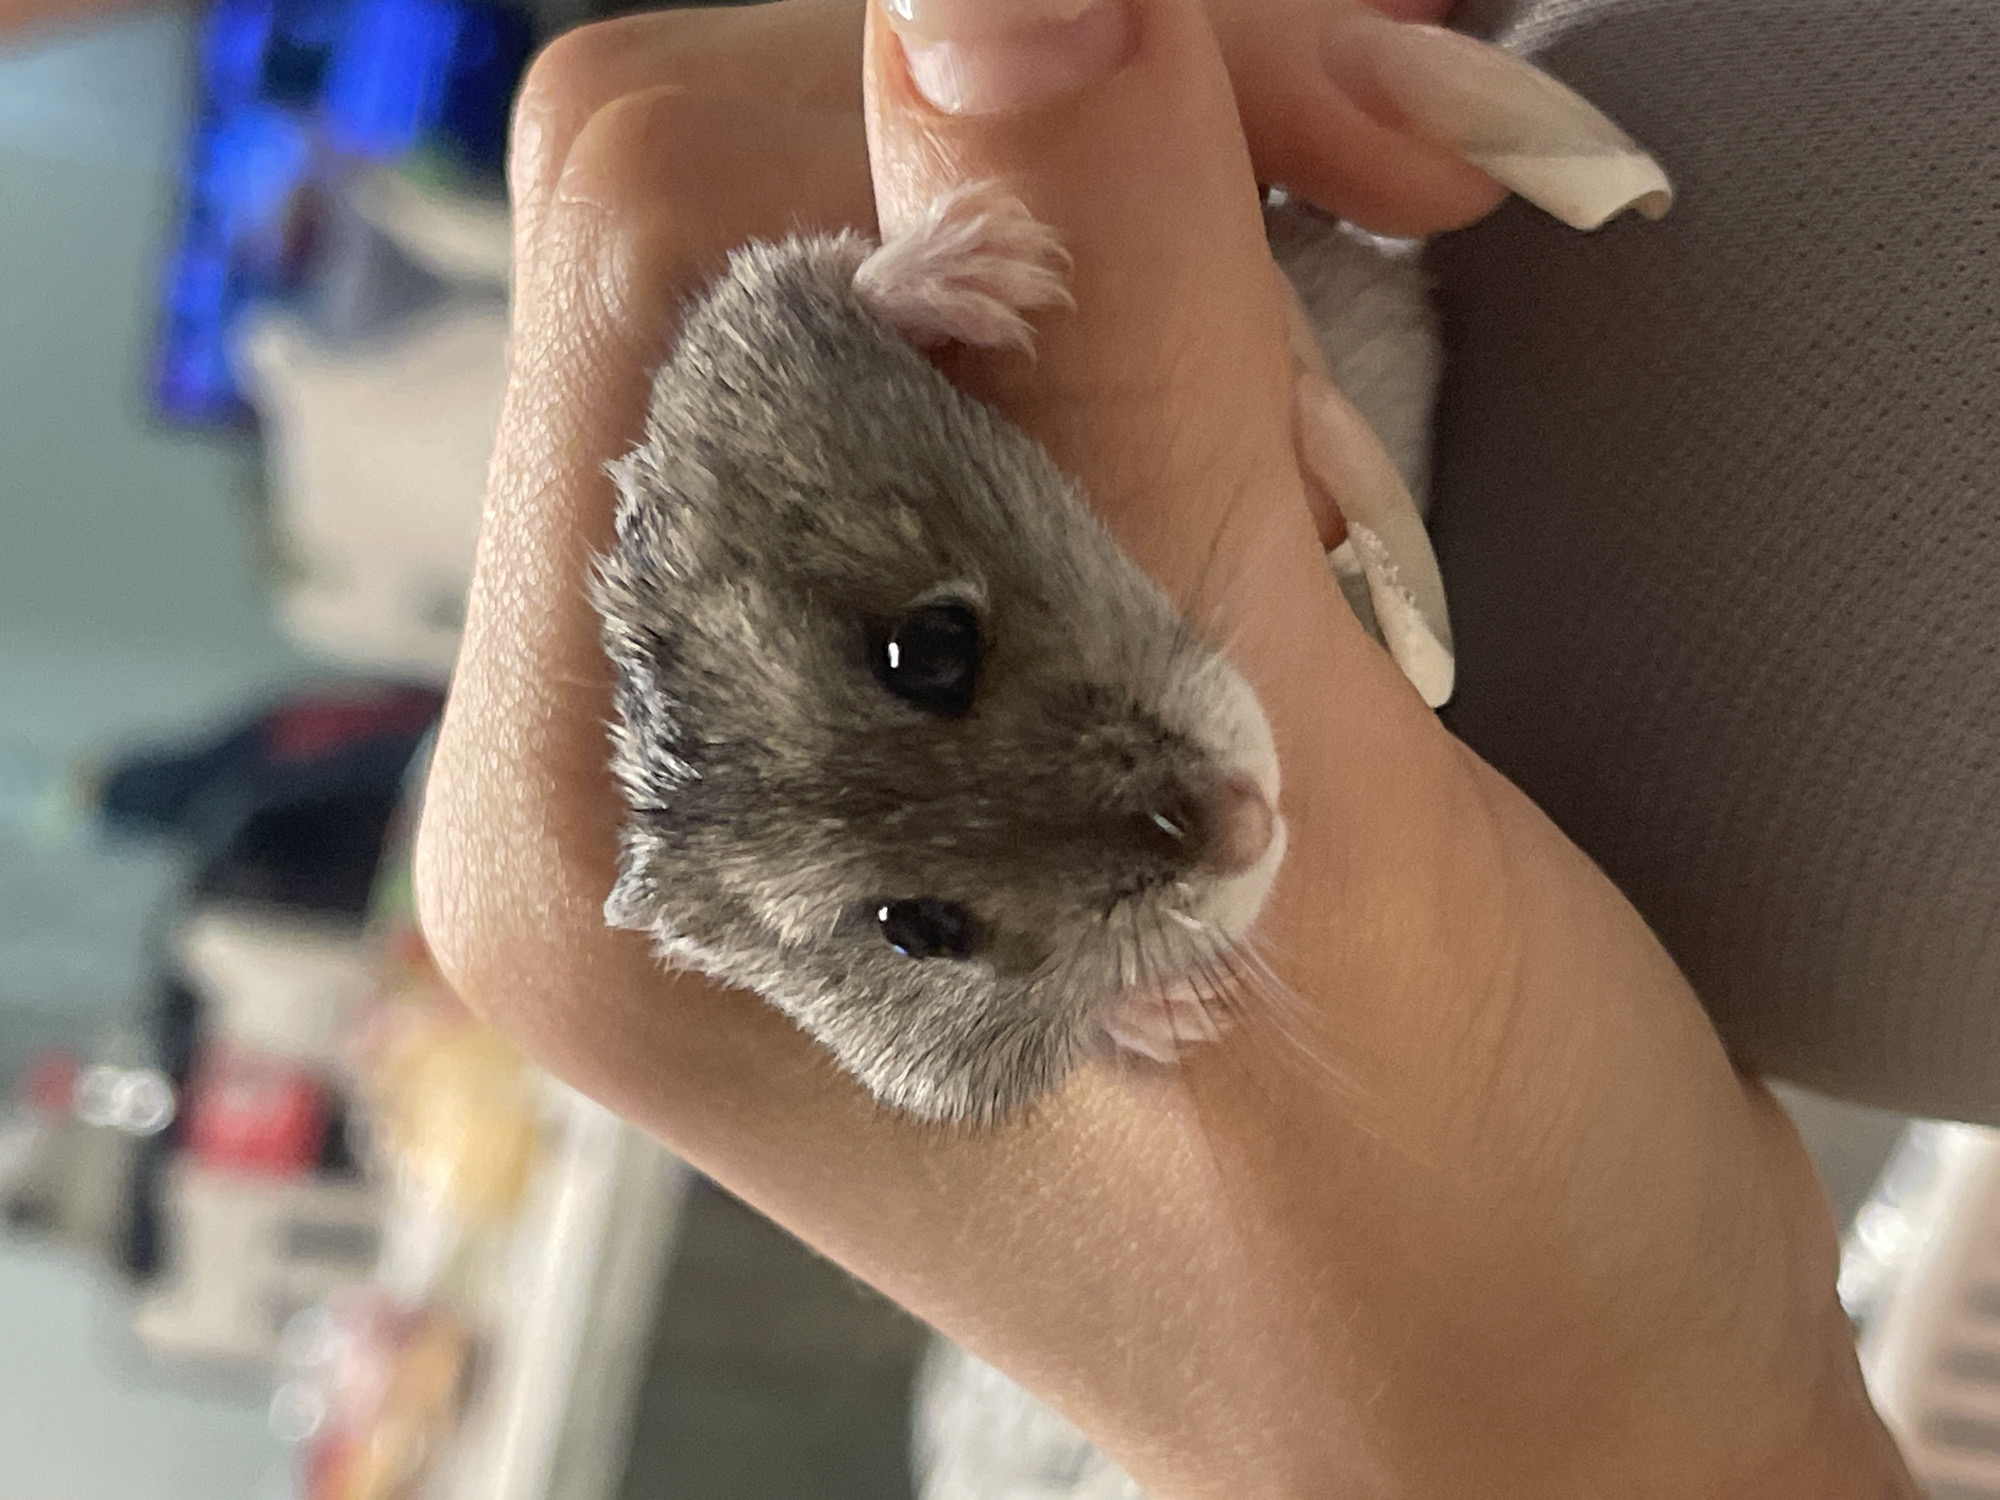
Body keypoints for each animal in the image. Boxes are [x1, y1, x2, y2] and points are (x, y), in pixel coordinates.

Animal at [595, 183, 1440, 1125]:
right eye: (918, 930)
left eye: (929, 648)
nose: (1249, 826)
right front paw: (1182, 1015)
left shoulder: (738, 344)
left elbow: (826, 274)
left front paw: (1009, 260)